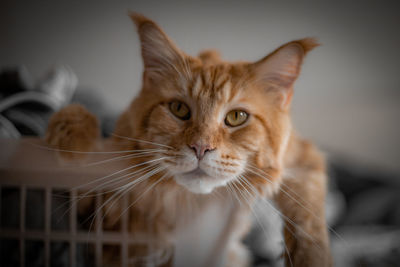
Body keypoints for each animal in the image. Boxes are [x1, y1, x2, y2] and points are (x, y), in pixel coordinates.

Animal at [46, 13, 332, 267]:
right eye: (179, 109)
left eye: (237, 117)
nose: (200, 147)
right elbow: (78, 116)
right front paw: (72, 143)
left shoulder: (302, 157)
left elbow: (309, 219)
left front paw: (311, 259)